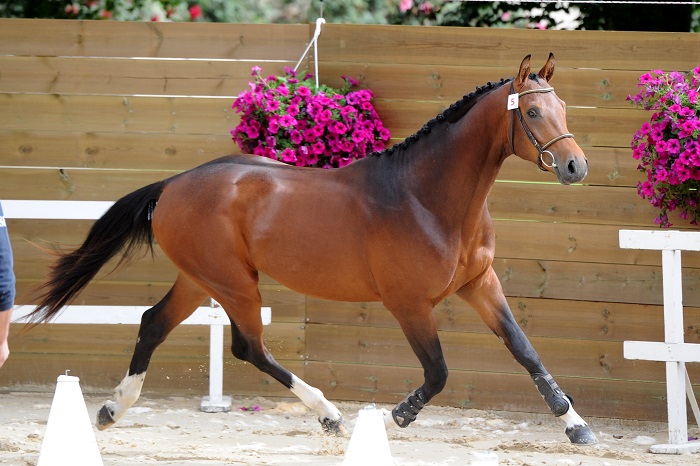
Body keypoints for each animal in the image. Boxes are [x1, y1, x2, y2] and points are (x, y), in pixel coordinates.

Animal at [27, 53, 596, 444]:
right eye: (534, 112)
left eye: (563, 106)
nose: (575, 166)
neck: (427, 198)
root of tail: (173, 184)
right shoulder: (409, 304)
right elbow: (437, 372)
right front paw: (399, 414)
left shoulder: (480, 284)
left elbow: (525, 350)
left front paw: (576, 426)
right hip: (234, 283)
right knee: (249, 348)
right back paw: (330, 414)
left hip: (200, 279)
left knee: (153, 324)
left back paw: (111, 410)